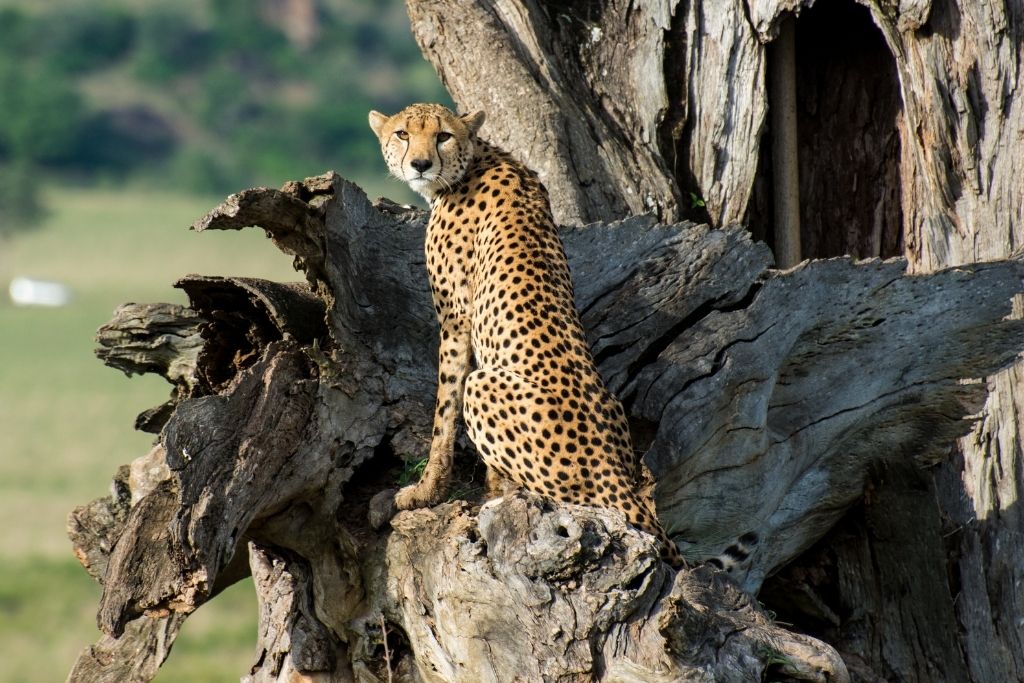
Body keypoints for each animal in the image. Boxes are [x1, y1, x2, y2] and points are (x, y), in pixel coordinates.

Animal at [368, 104, 679, 569]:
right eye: (403, 134)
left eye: (442, 136)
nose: (420, 164)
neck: (475, 159)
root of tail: (615, 475)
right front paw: (486, 486)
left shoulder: (456, 320)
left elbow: (443, 412)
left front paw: (424, 492)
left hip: (484, 386)